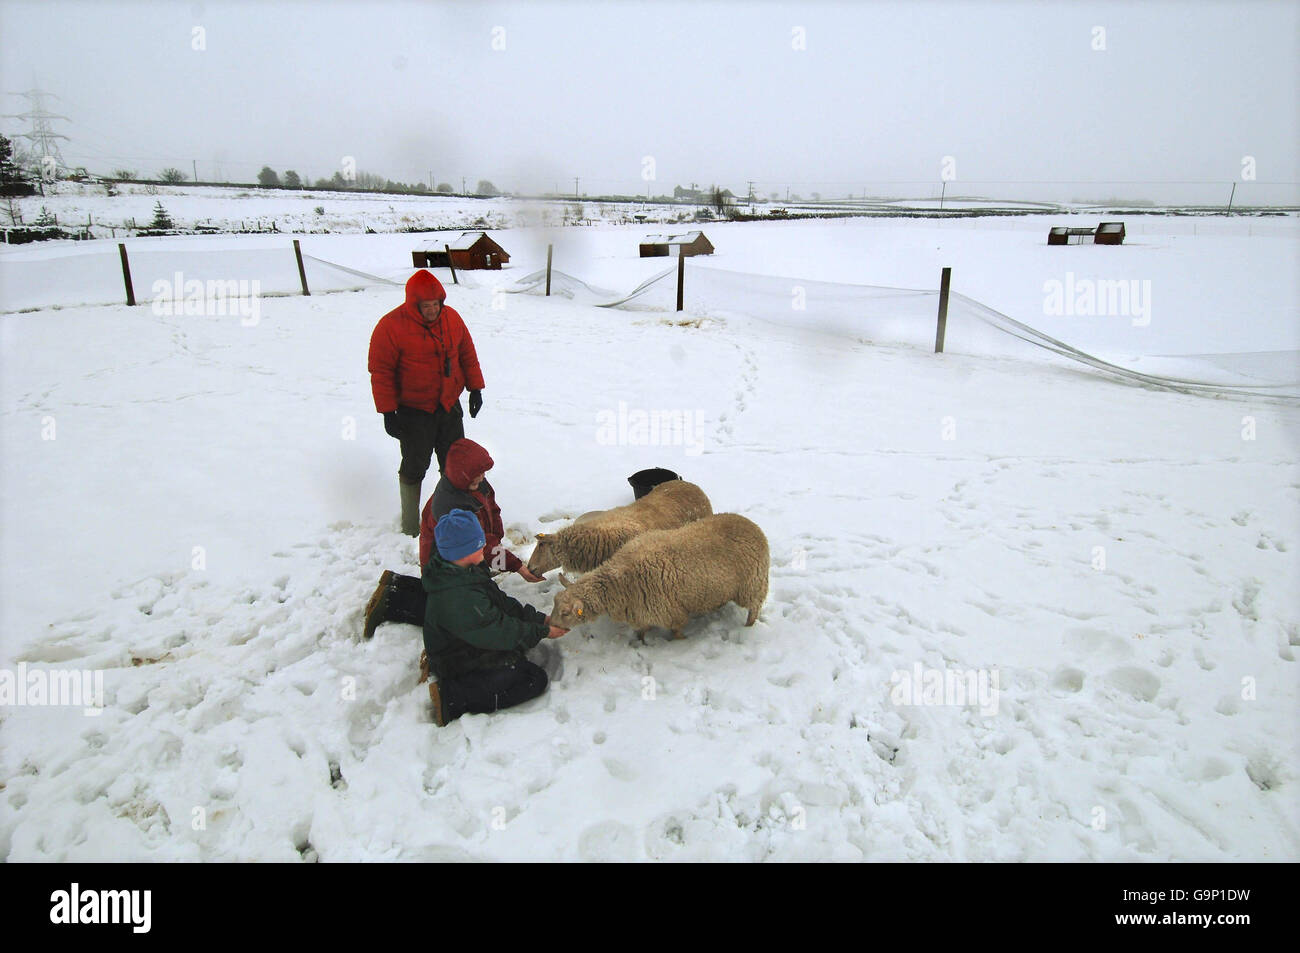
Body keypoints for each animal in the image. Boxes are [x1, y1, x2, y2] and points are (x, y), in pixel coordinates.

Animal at [551, 512, 769, 639]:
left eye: (565, 613)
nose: (550, 625)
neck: (620, 582)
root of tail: (752, 525)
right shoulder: (642, 614)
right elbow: (642, 631)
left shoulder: (673, 614)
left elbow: (677, 631)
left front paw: (680, 640)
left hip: (752, 584)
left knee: (755, 608)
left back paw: (748, 627)